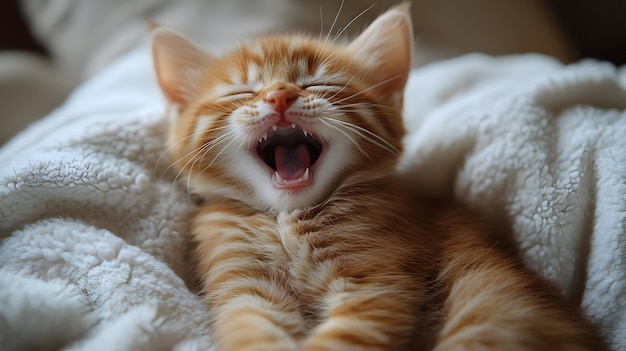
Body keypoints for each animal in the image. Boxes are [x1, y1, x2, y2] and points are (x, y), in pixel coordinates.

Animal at [149, 3, 604, 351]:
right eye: (241, 92)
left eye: (318, 82)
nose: (279, 96)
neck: (287, 219)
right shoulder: (243, 289)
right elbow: (253, 333)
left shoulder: (376, 286)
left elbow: (341, 339)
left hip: (489, 311)